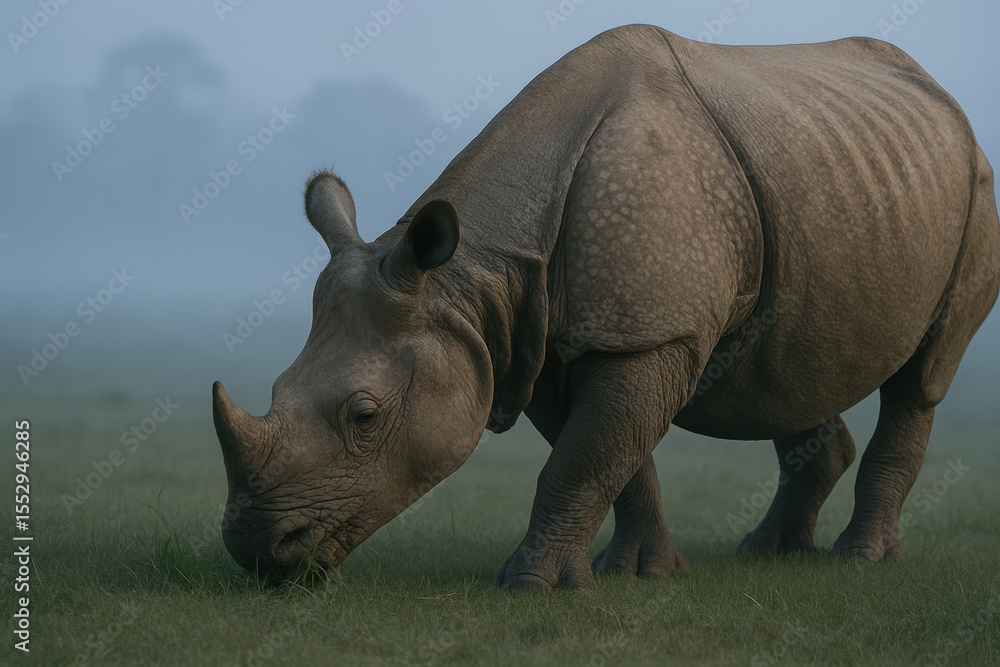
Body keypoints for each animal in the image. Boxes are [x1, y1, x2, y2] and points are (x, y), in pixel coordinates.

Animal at [213, 25, 1000, 591]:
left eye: (364, 416)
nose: (258, 551)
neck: (472, 277)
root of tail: (938, 91)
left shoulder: (644, 334)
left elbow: (584, 456)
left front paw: (529, 586)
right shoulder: (537, 339)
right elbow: (613, 454)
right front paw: (641, 573)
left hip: (975, 183)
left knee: (922, 376)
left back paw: (859, 561)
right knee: (790, 364)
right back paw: (767, 552)